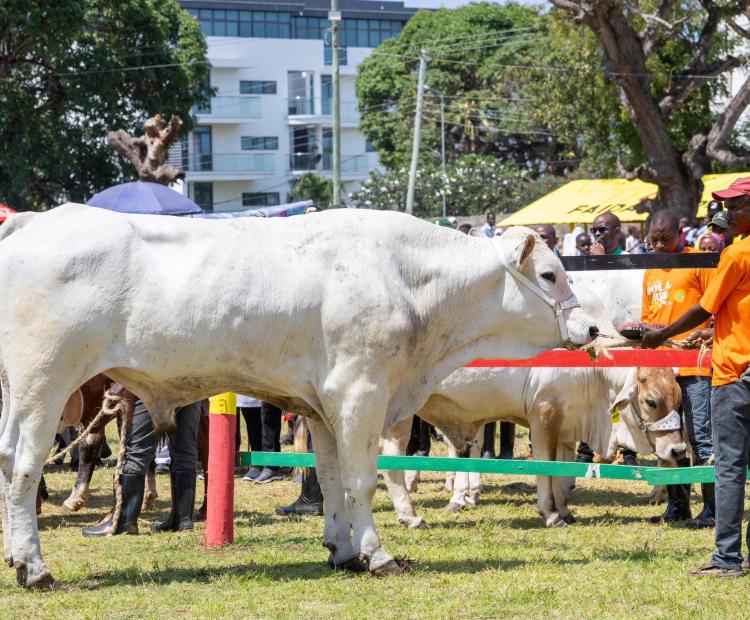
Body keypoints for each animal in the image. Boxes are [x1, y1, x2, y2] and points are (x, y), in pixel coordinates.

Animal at [0, 205, 597, 588]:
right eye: (550, 273)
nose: (592, 328)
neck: (405, 279)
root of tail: (34, 221)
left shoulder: (324, 405)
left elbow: (331, 479)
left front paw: (342, 551)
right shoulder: (361, 391)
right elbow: (362, 478)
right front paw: (377, 555)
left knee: (7, 462)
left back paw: (16, 559)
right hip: (43, 384)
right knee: (27, 467)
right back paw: (35, 568)